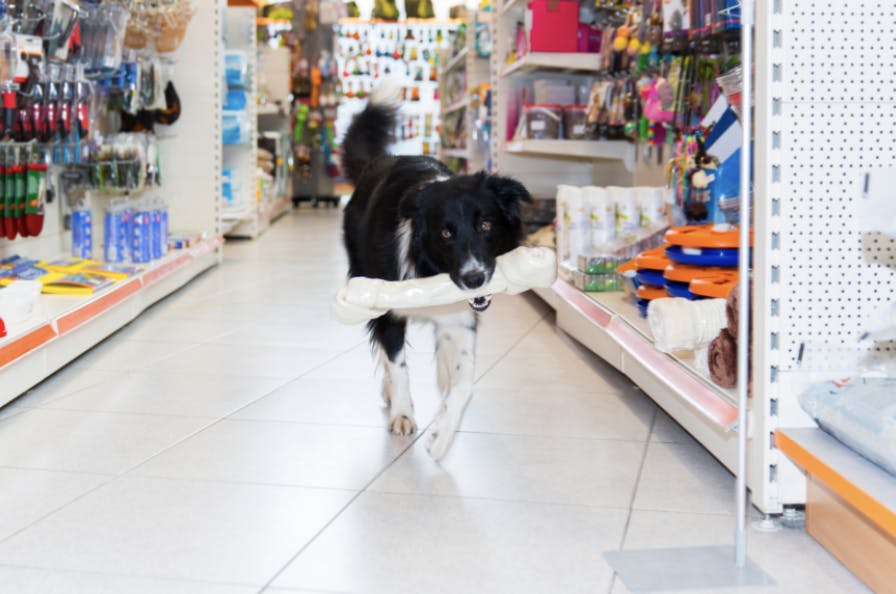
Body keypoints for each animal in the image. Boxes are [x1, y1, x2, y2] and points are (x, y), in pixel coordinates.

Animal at [340, 83, 528, 458]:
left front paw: (442, 435)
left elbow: (465, 380)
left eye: (486, 224)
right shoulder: (389, 309)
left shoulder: (460, 317)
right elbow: (397, 364)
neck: (431, 268)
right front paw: (402, 414)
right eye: (445, 234)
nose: (474, 279)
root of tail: (376, 163)